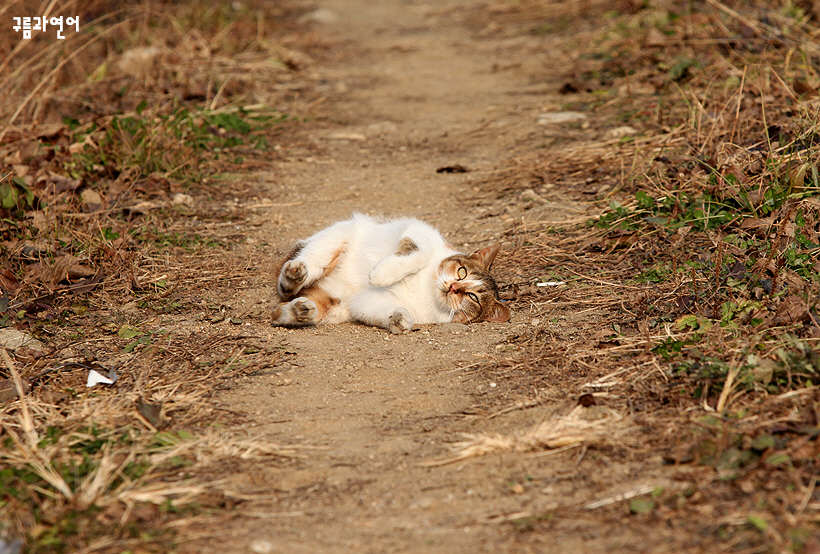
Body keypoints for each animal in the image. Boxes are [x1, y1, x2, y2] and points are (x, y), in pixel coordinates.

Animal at [272, 211, 510, 332]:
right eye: (462, 272)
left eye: (472, 297)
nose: (453, 287)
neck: (426, 285)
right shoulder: (419, 232)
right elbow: (418, 253)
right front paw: (381, 274)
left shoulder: (363, 302)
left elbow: (385, 310)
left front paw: (399, 320)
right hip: (333, 240)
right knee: (297, 273)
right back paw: (293, 276)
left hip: (332, 306)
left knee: (278, 310)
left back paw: (300, 310)